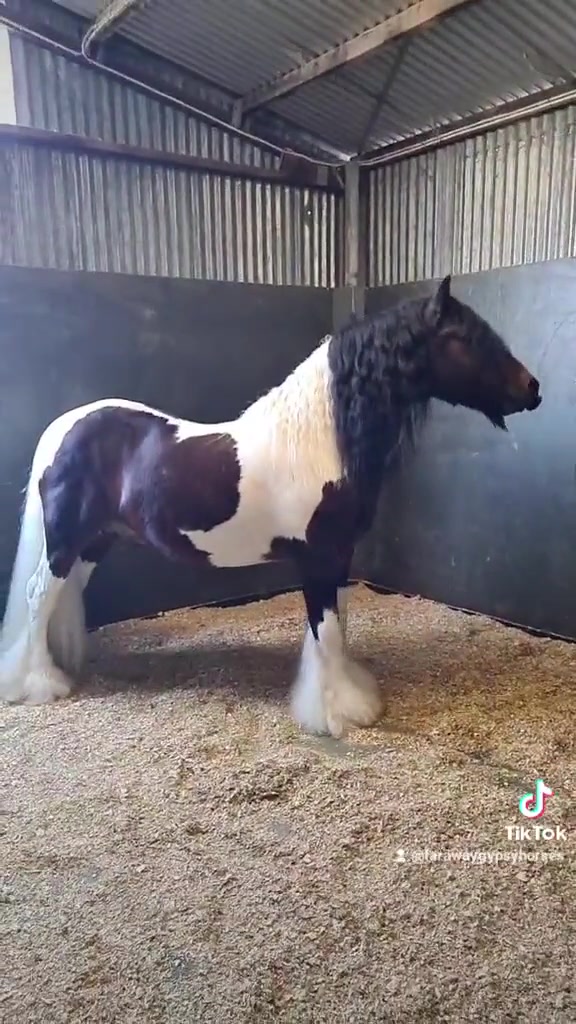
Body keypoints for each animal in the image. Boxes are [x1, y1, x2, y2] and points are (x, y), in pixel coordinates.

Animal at [0, 275, 541, 736]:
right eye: (463, 337)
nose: (532, 389)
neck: (321, 441)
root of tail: (63, 428)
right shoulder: (319, 558)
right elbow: (326, 632)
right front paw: (335, 713)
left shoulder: (338, 558)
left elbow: (333, 631)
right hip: (65, 542)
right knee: (37, 598)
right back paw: (38, 685)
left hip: (95, 542)